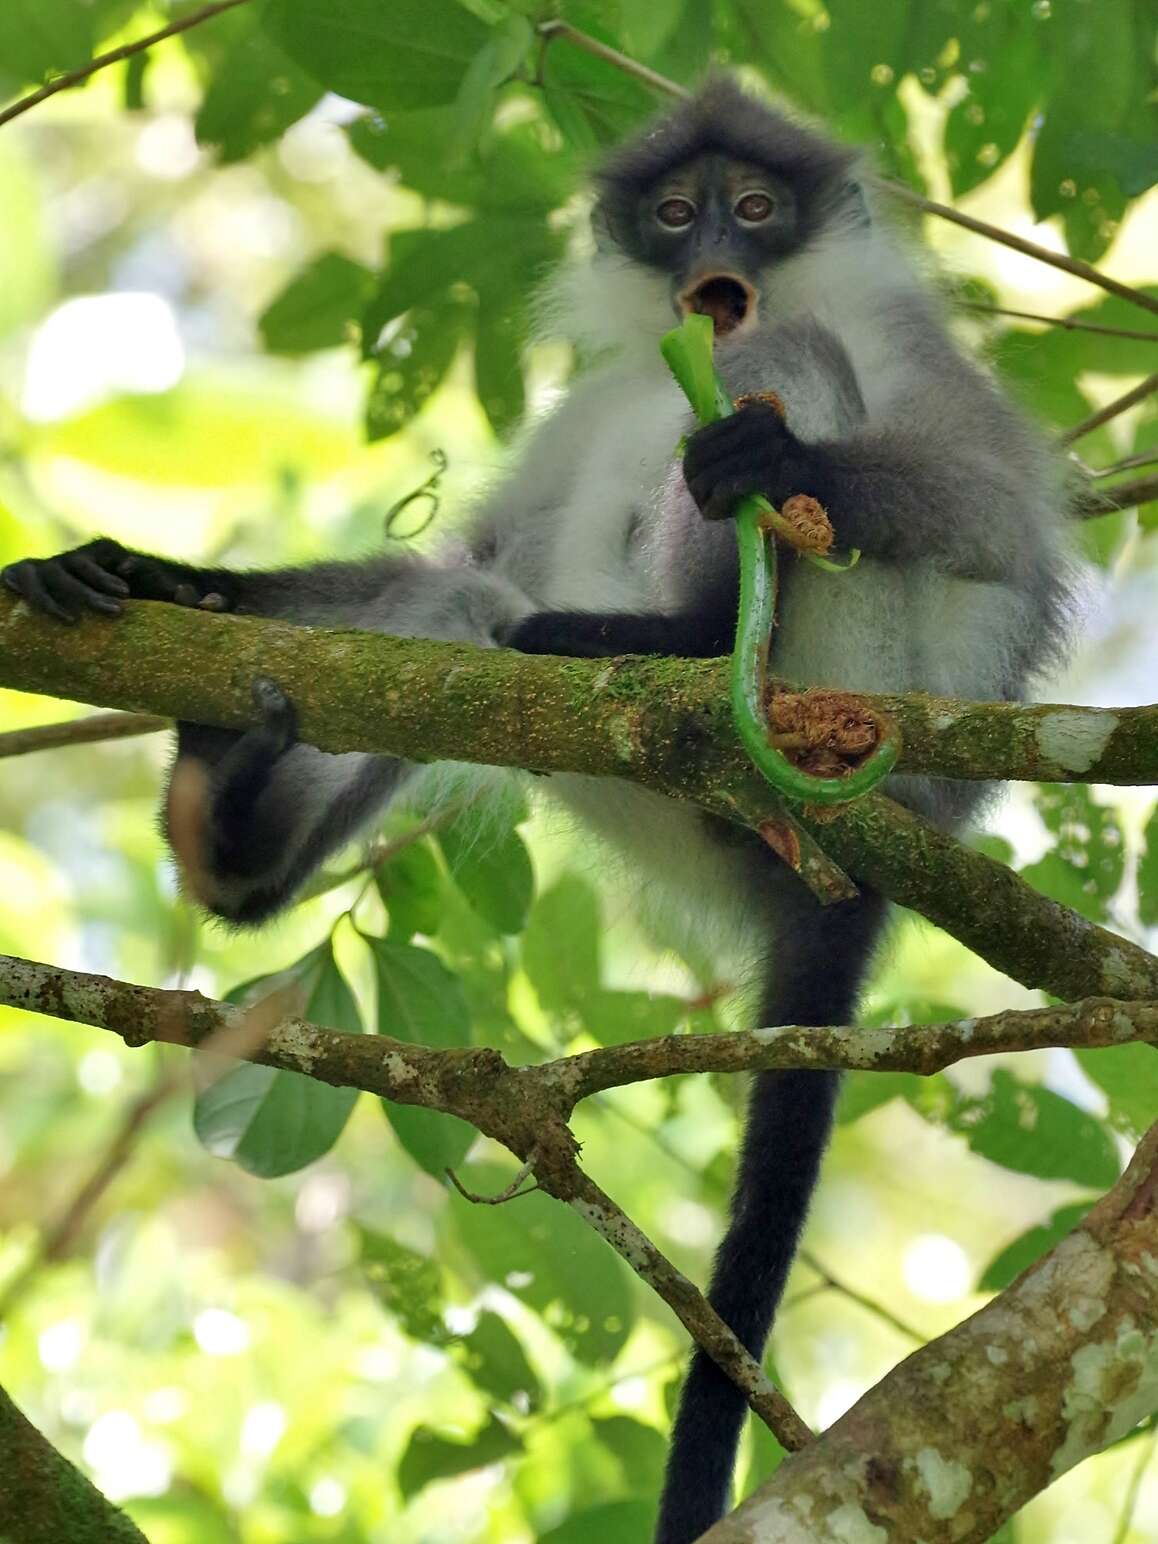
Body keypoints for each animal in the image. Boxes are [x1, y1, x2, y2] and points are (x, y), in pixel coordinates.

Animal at [2, 81, 1068, 1544]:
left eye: (756, 206)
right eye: (673, 213)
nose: (709, 257)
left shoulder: (906, 357)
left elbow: (995, 524)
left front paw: (783, 452)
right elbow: (468, 555)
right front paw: (146, 574)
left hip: (855, 690)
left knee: (784, 401)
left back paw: (678, 633)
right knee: (464, 613)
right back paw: (234, 843)